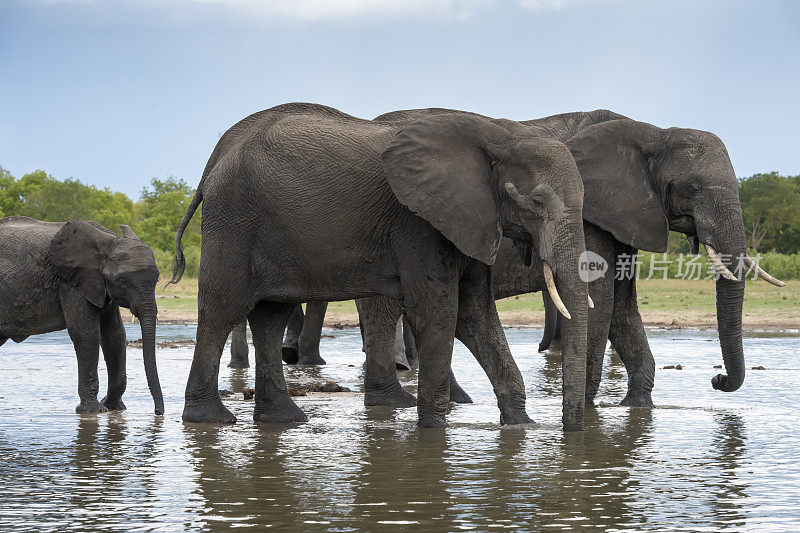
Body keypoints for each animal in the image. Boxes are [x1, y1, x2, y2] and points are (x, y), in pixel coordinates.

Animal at [0, 215, 164, 412]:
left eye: (157, 279)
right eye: (122, 281)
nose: (158, 413)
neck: (109, 241)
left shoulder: (99, 286)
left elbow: (114, 335)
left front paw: (114, 407)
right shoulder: (71, 282)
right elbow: (87, 334)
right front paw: (93, 411)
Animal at [173, 103, 588, 428]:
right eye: (536, 202)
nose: (571, 431)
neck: (500, 135)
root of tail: (214, 161)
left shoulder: (471, 219)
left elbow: (475, 314)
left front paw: (521, 426)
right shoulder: (416, 223)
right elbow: (438, 311)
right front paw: (433, 432)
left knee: (270, 316)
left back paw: (284, 420)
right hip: (234, 219)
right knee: (223, 308)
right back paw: (210, 419)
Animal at [260, 107, 780, 408]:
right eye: (692, 188)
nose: (716, 380)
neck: (651, 131)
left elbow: (623, 309)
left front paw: (635, 410)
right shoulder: (593, 213)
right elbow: (602, 304)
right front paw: (589, 411)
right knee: (390, 310)